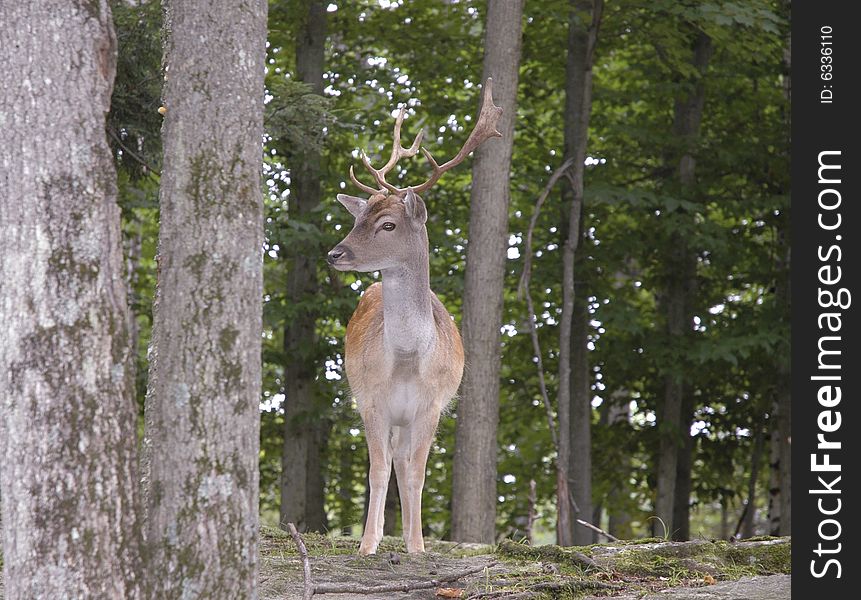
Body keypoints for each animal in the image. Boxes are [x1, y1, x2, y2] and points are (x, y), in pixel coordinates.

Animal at [330, 78, 504, 552]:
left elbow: (417, 474)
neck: (408, 360)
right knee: (392, 460)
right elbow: (377, 471)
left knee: (406, 463)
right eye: (357, 220)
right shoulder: (371, 398)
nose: (335, 253)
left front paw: (418, 546)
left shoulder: (432, 405)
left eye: (388, 224)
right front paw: (367, 544)